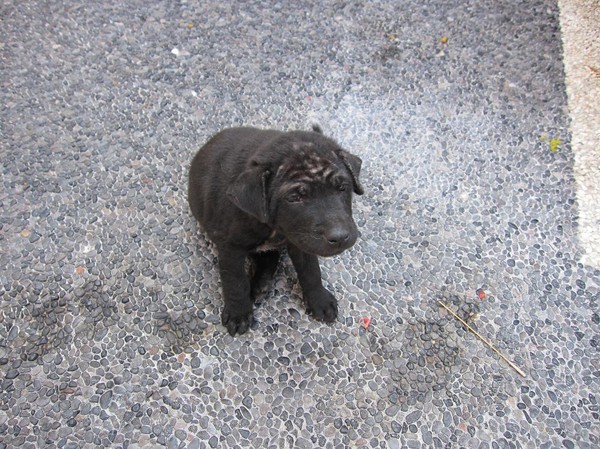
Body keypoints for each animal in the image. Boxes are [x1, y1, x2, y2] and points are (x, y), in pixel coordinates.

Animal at [188, 124, 364, 334]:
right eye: (294, 198)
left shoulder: (301, 241)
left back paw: (261, 283)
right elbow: (235, 280)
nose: (340, 237)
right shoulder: (230, 247)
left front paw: (319, 300)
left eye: (342, 187)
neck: (275, 227)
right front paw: (239, 313)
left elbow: (311, 271)